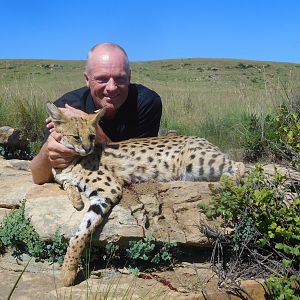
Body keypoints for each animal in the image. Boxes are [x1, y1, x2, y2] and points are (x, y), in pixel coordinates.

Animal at [46, 102, 244, 286]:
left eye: (92, 136)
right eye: (76, 137)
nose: (88, 148)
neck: (70, 160)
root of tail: (202, 139)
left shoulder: (110, 189)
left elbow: (81, 232)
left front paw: (68, 271)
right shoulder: (66, 178)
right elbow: (66, 184)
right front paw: (76, 200)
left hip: (198, 163)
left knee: (242, 166)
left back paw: (231, 184)